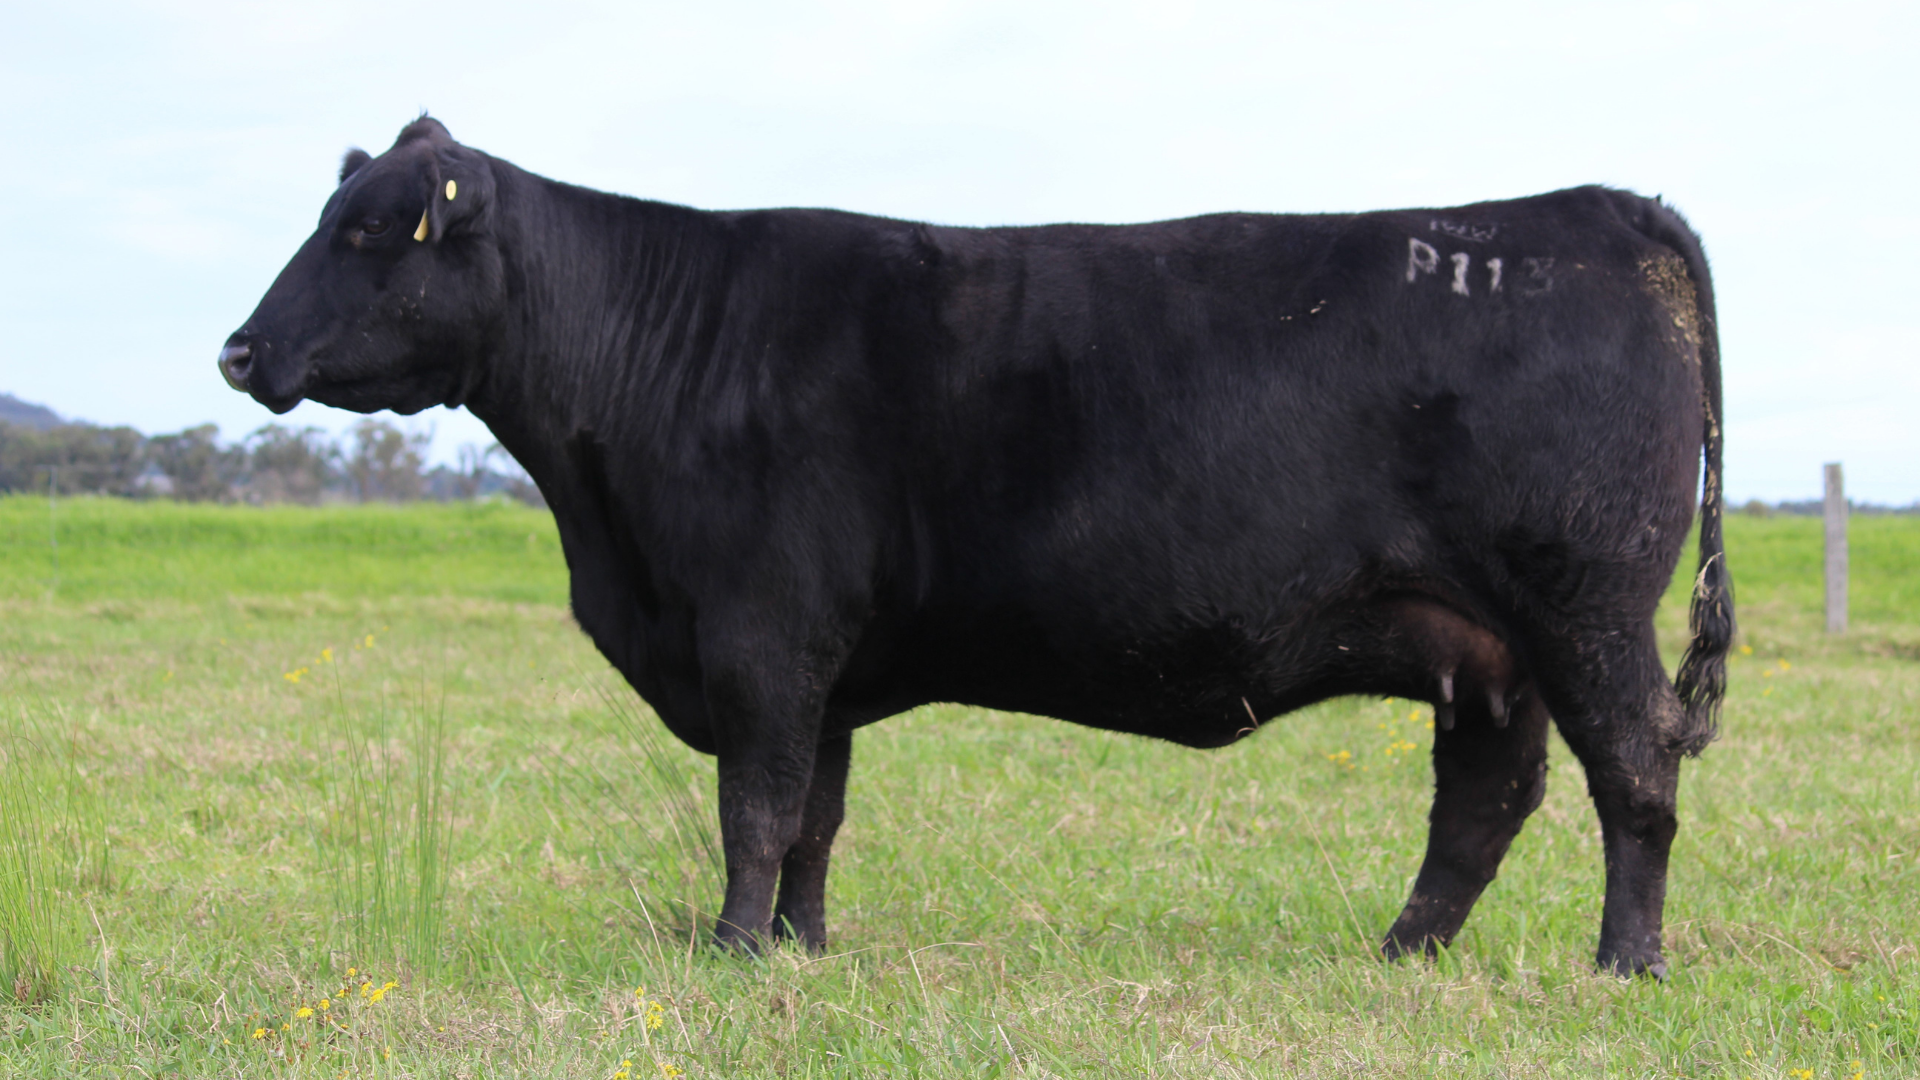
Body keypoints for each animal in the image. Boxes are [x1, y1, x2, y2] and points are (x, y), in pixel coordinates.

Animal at [219, 117, 1732, 978]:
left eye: (368, 231)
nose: (236, 350)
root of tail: (1598, 206)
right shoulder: (817, 663)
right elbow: (815, 816)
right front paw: (799, 954)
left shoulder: (760, 636)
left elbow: (755, 809)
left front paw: (728, 955)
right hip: (1488, 645)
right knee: (1485, 800)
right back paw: (1400, 955)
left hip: (1586, 607)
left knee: (1635, 776)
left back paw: (1626, 965)